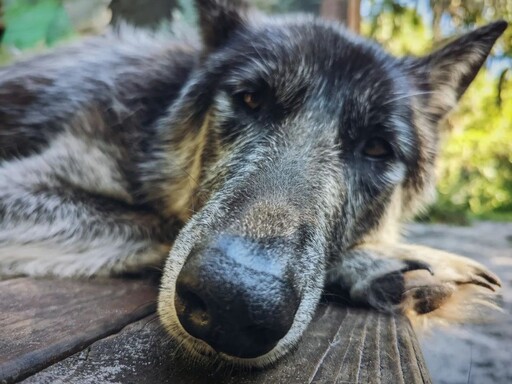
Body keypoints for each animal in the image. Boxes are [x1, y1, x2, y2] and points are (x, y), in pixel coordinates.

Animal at [0, 0, 506, 368]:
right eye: (249, 99)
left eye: (377, 148)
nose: (233, 306)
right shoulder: (22, 185)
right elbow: (157, 223)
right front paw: (386, 261)